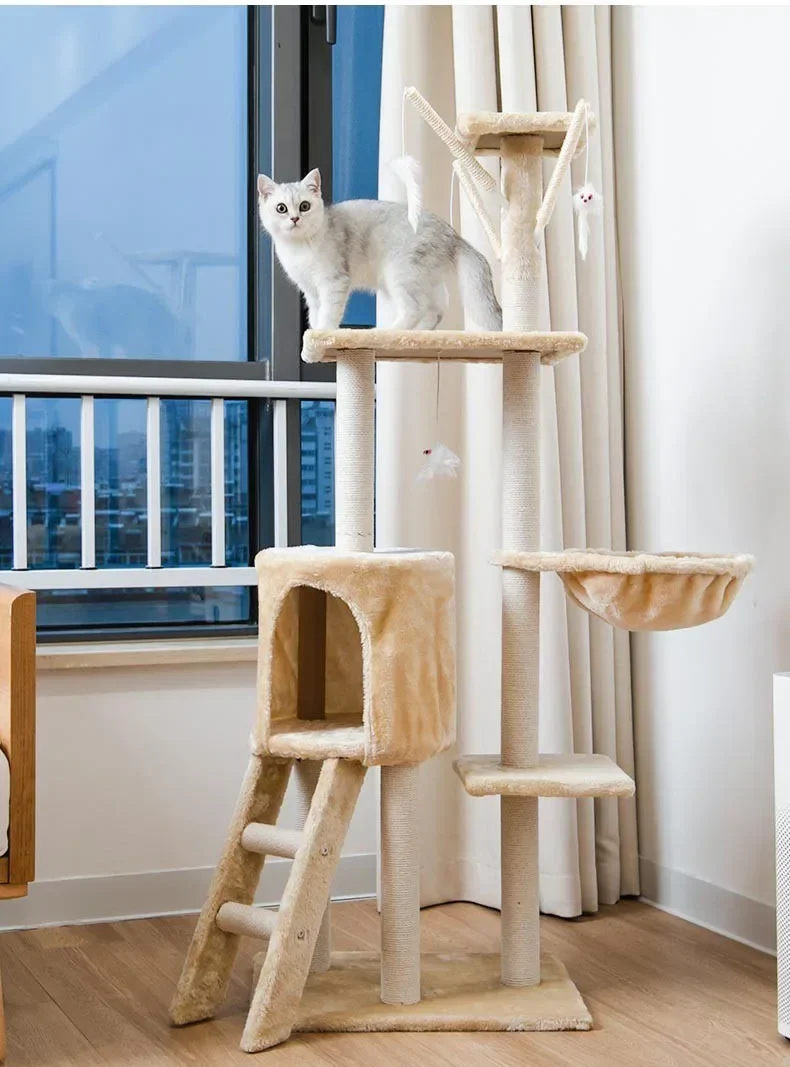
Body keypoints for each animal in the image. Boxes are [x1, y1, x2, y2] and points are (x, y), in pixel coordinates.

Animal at [257, 168, 502, 331]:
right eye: (281, 208)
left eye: (305, 206)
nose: (294, 218)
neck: (298, 248)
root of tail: (454, 236)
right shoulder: (311, 291)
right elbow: (316, 314)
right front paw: (314, 337)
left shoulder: (333, 282)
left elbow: (327, 314)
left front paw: (323, 335)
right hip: (423, 282)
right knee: (435, 311)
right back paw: (419, 334)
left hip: (400, 274)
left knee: (416, 309)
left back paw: (390, 332)